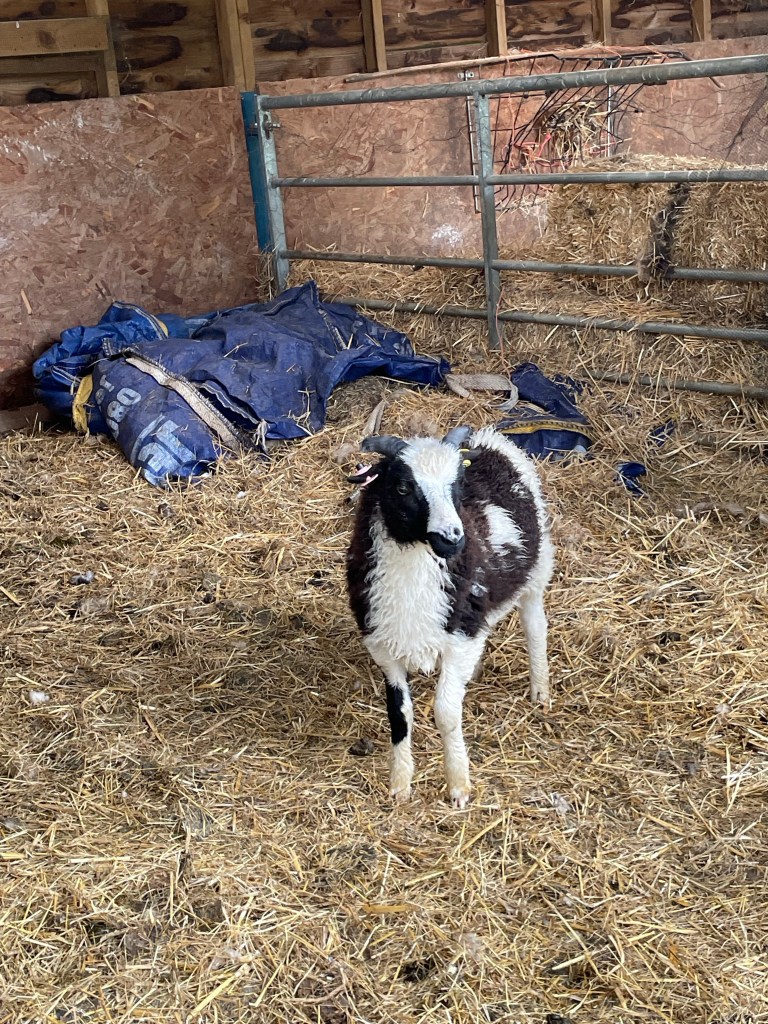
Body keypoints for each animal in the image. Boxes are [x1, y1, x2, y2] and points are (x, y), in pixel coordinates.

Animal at [346, 424, 554, 808]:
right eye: (403, 487)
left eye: (456, 486)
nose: (453, 539)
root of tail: (489, 438)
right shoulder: (383, 645)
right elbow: (399, 715)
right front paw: (400, 785)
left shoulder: (460, 639)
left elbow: (446, 712)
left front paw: (458, 784)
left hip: (537, 568)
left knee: (535, 627)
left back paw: (540, 690)